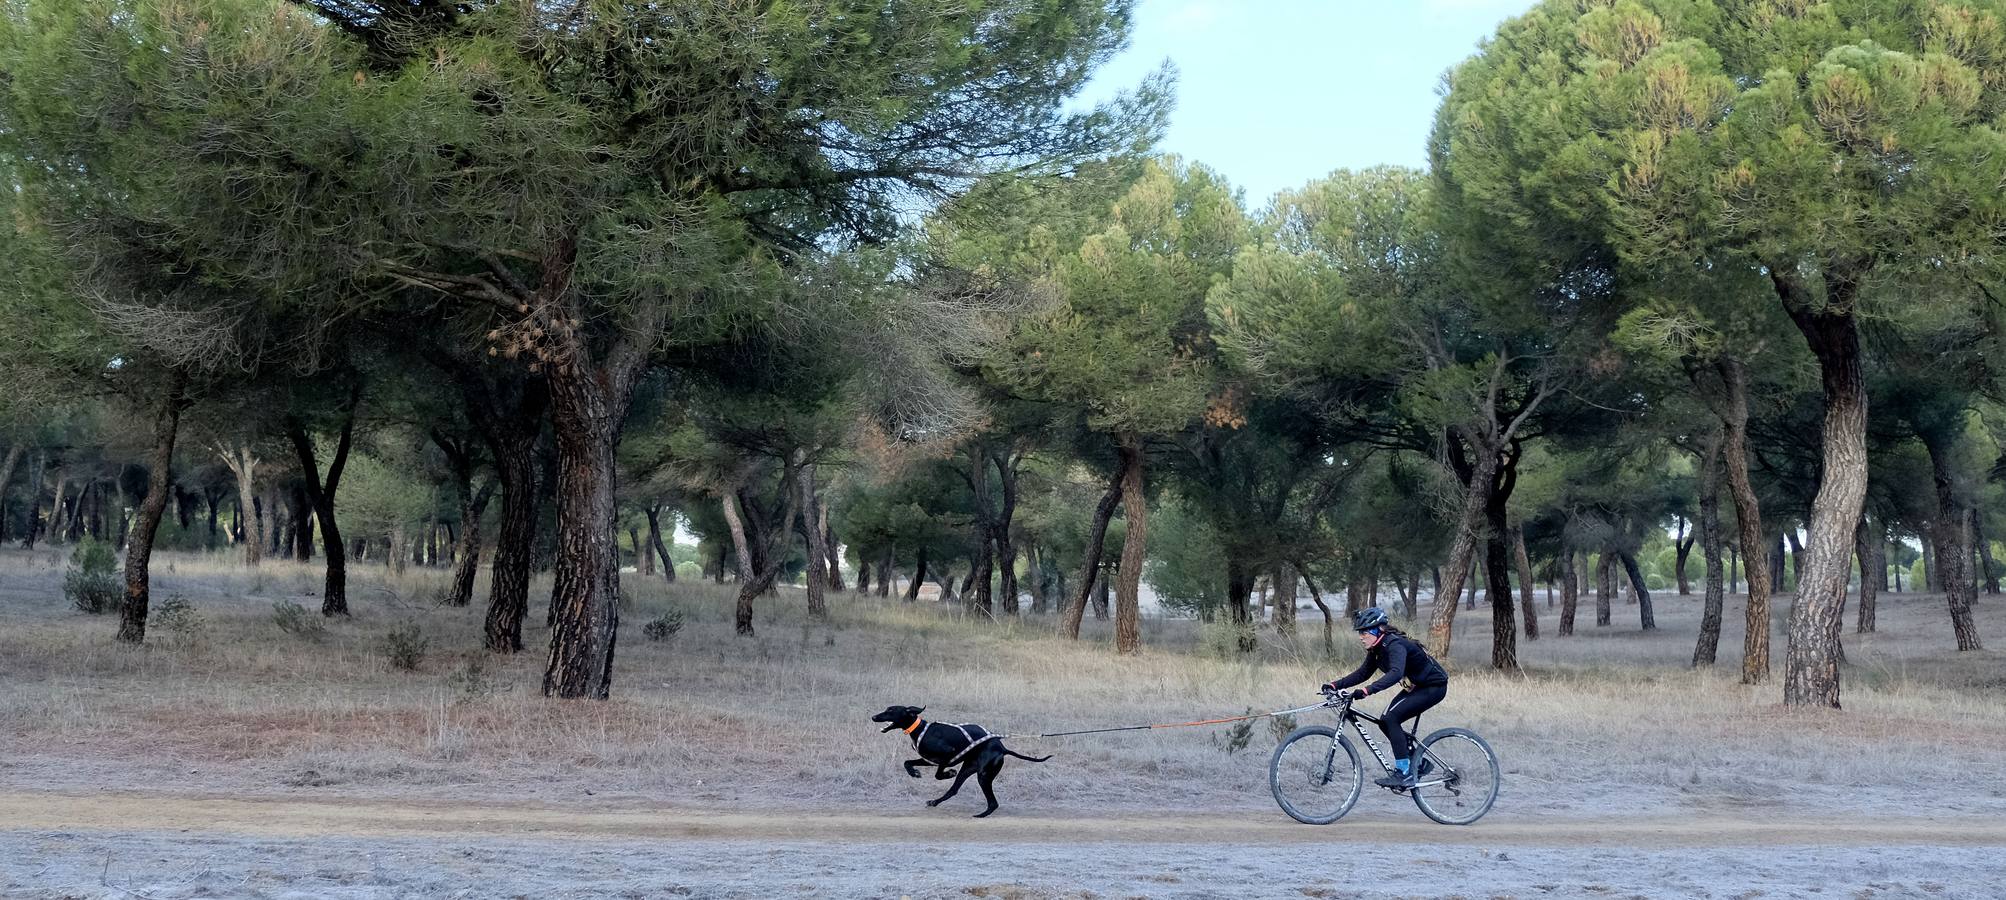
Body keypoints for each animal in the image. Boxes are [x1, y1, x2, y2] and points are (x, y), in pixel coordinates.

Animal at [874, 705, 1059, 817]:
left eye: (890, 710)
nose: (873, 717)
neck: (919, 729)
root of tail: (1002, 748)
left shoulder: (947, 754)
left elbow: (938, 774)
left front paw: (948, 773)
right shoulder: (929, 759)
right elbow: (907, 763)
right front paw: (914, 773)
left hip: (983, 776)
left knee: (993, 803)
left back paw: (981, 815)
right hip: (968, 769)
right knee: (953, 790)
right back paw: (935, 802)